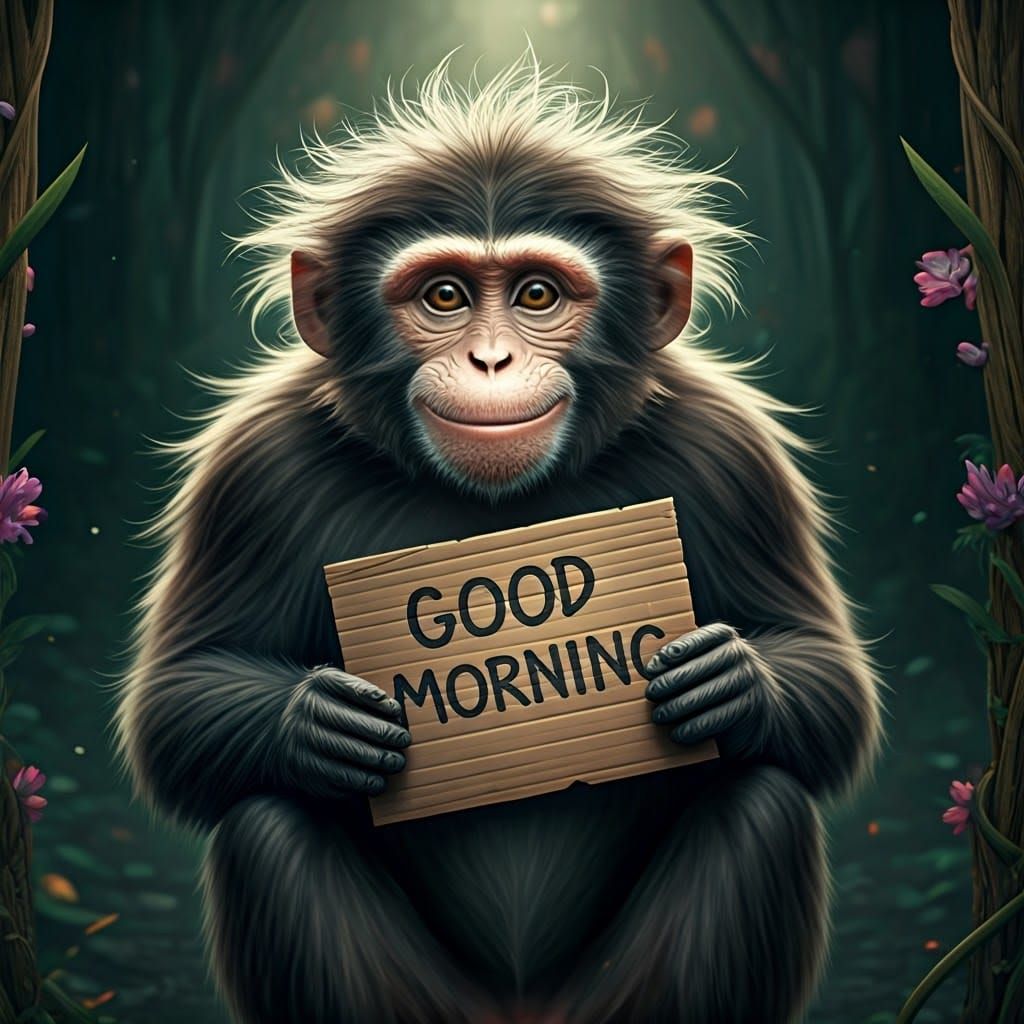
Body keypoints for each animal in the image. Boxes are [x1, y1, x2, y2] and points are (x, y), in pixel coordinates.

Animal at [116, 56, 881, 1024]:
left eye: (537, 295)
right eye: (444, 296)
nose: (490, 360)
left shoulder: (730, 454)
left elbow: (829, 683)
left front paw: (722, 679)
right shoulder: (252, 471)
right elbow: (178, 699)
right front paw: (324, 721)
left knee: (765, 801)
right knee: (268, 823)